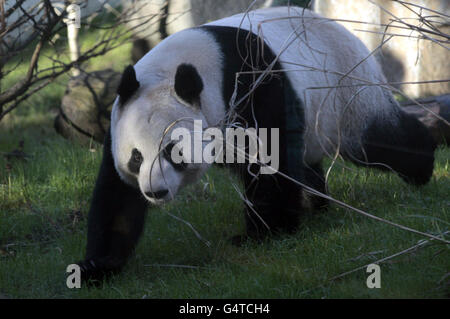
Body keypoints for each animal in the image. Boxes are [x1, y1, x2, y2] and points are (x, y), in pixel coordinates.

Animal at [76, 6, 436, 284]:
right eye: (136, 158)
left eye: (172, 152)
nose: (155, 192)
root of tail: (344, 30)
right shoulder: (120, 121)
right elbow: (117, 197)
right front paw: (97, 267)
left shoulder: (250, 82)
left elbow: (270, 161)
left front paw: (263, 235)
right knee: (309, 160)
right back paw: (316, 203)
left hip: (345, 89)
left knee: (377, 141)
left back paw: (423, 166)